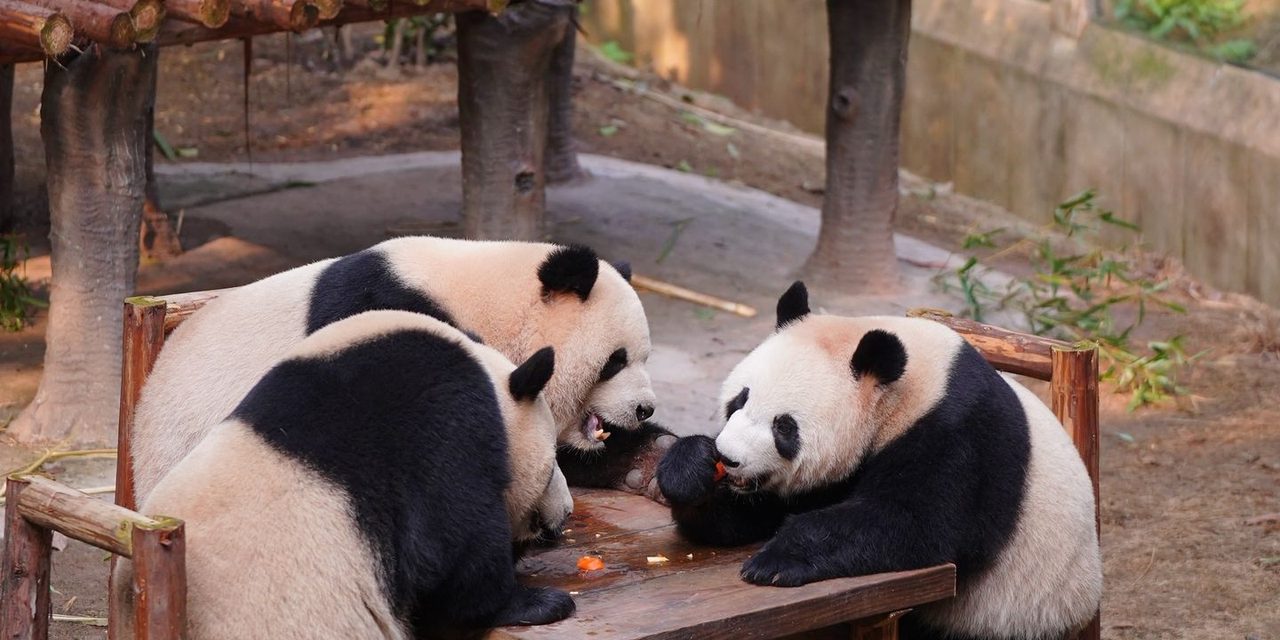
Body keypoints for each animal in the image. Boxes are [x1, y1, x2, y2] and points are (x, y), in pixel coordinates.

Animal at [658, 282, 1102, 640]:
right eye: (740, 399)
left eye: (784, 428)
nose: (729, 459)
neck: (904, 392)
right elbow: (754, 513)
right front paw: (691, 470)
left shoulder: (958, 436)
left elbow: (916, 523)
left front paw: (775, 561)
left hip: (1015, 612)